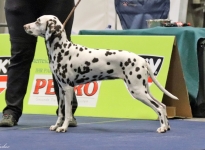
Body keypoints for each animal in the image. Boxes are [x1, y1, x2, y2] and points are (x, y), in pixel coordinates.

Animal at [23, 14, 178, 132]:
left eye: (38, 21)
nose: (24, 26)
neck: (62, 49)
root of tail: (142, 60)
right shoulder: (61, 90)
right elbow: (60, 113)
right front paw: (56, 126)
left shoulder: (68, 89)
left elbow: (67, 113)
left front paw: (63, 128)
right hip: (143, 89)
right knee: (162, 106)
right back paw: (167, 127)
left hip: (137, 90)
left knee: (159, 107)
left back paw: (162, 128)